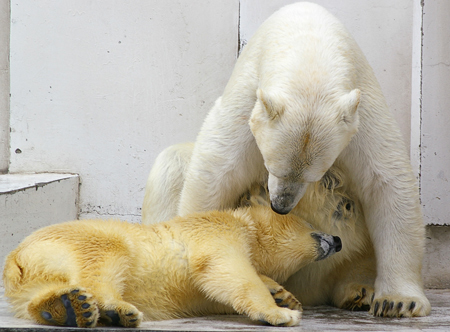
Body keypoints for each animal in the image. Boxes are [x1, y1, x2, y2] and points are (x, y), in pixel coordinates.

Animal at [154, 3, 428, 320]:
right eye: (271, 167)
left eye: (314, 176)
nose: (280, 207)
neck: (308, 42)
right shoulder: (248, 100)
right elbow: (216, 173)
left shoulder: (360, 112)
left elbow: (387, 182)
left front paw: (398, 302)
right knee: (172, 163)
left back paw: (358, 290)